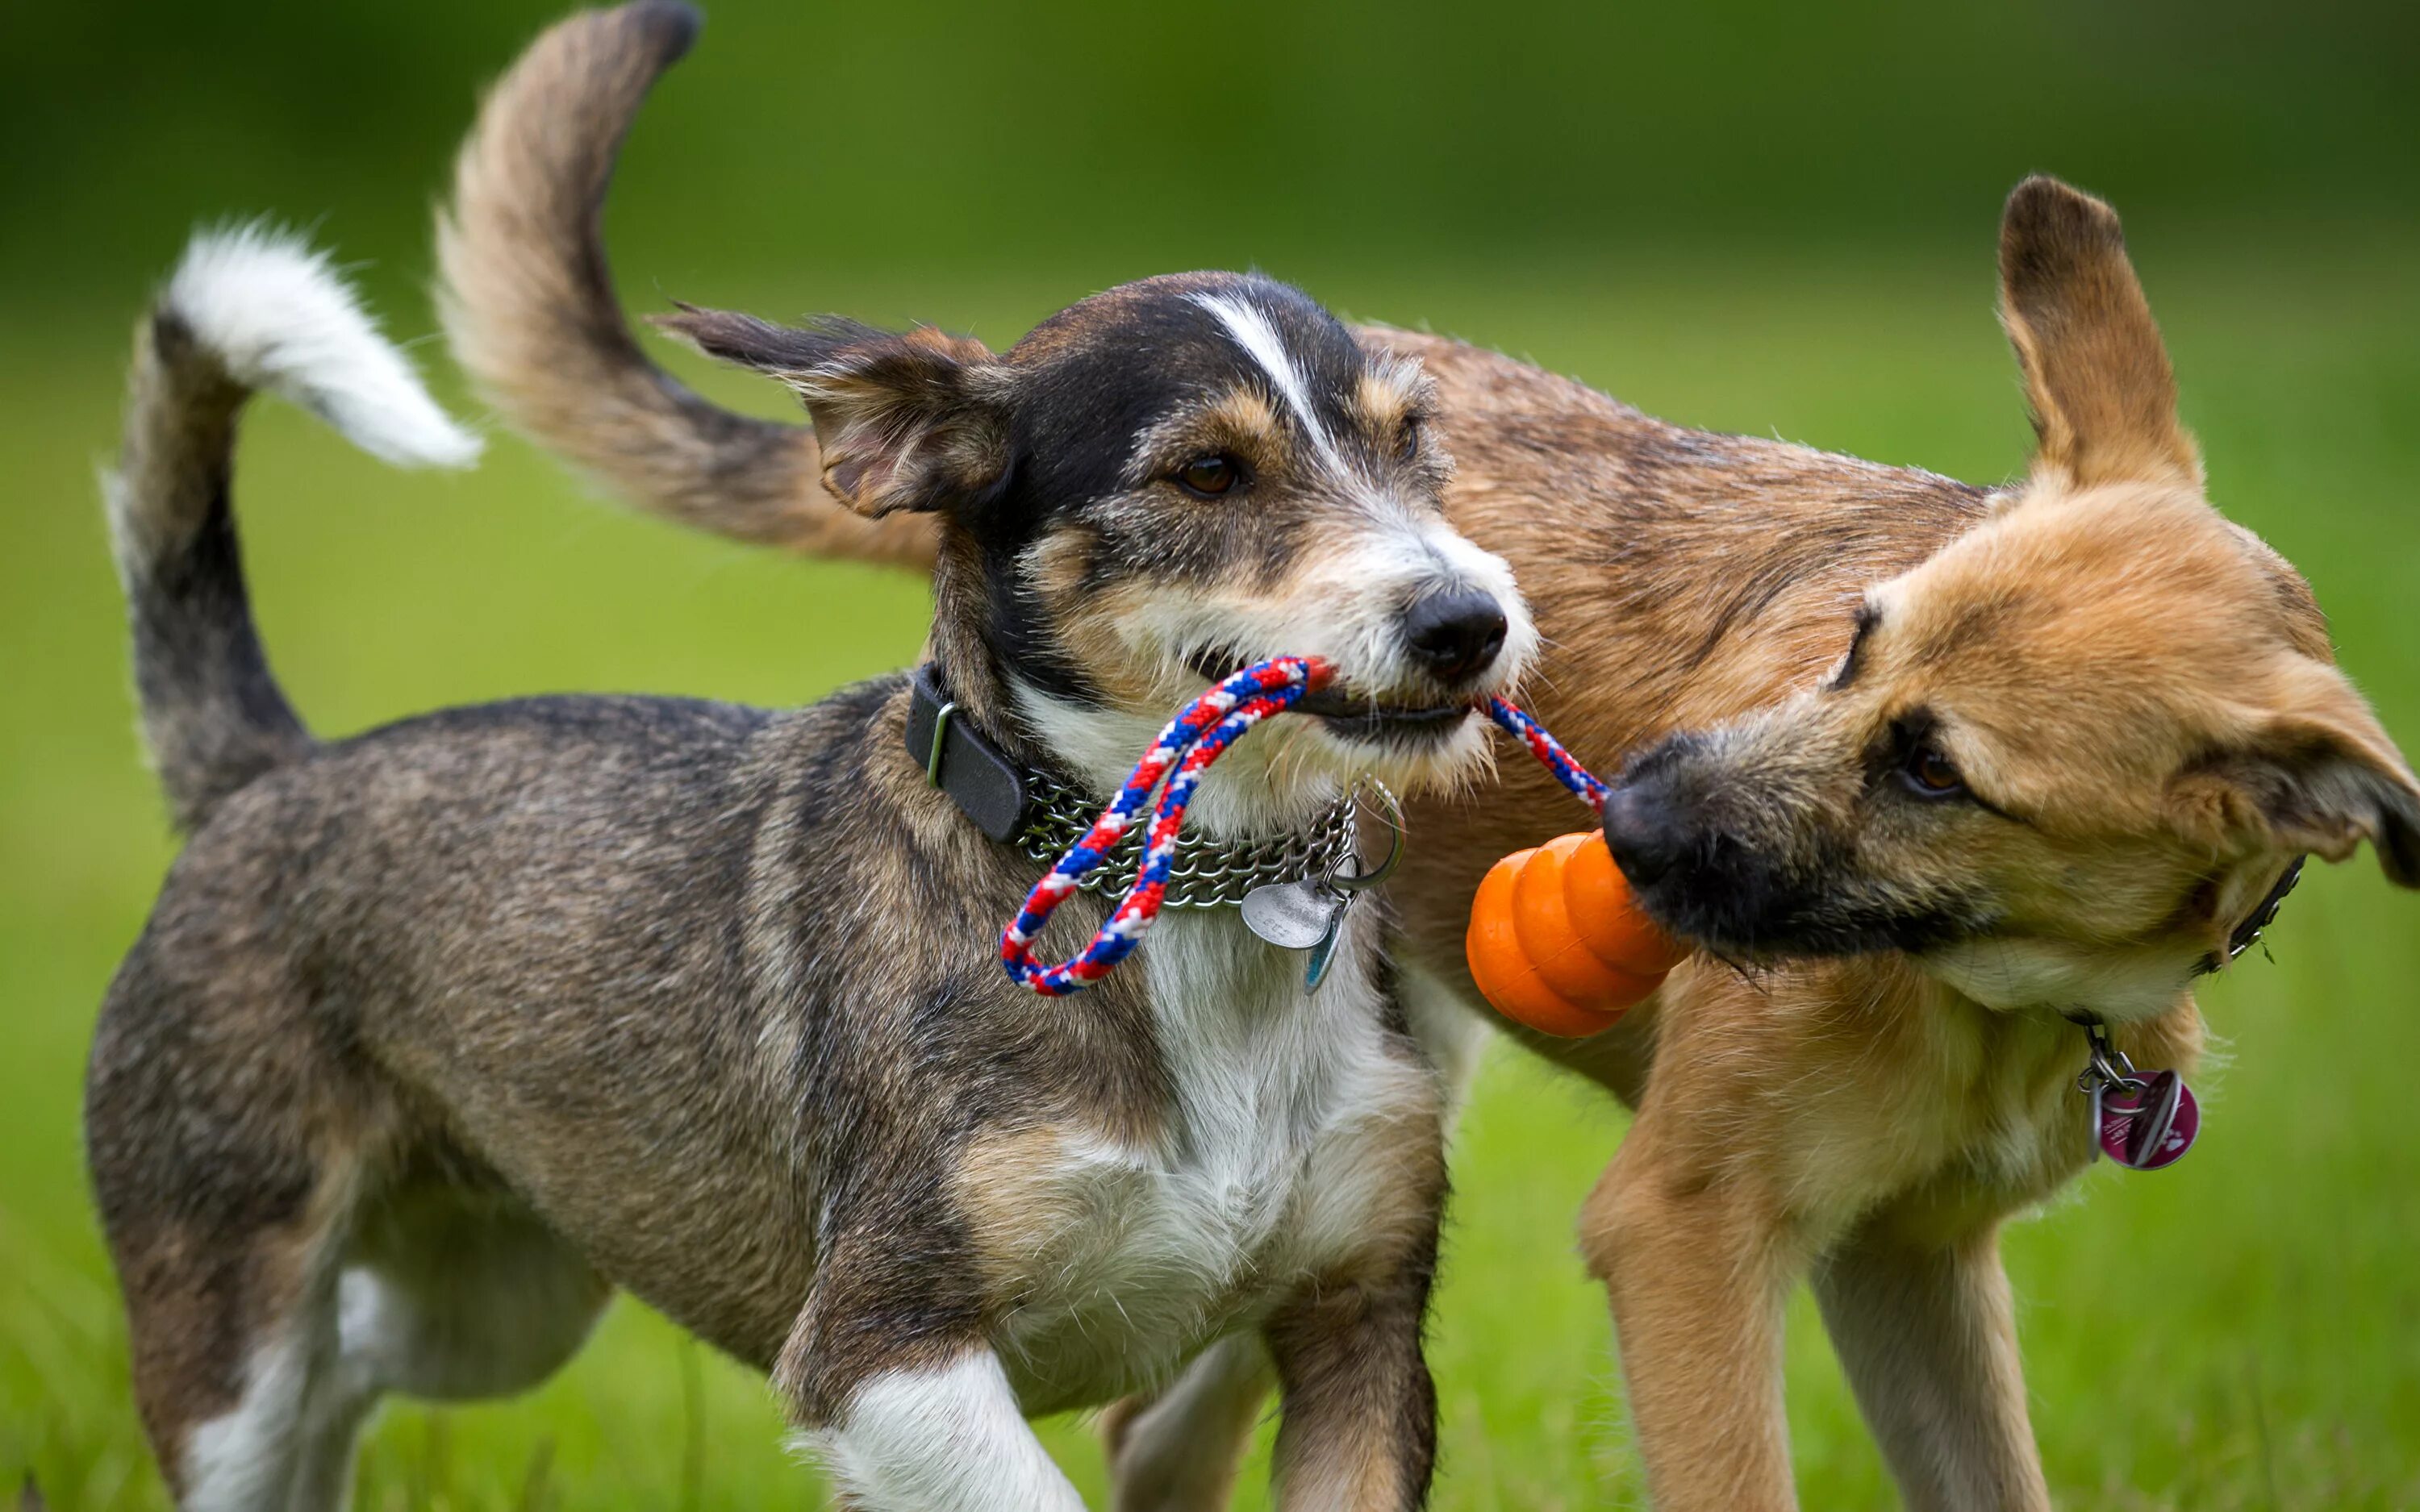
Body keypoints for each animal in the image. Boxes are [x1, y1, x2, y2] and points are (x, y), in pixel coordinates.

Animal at [94, 156, 1539, 1510]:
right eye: (1206, 471)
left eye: (1415, 441)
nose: (1471, 620)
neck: (1179, 892)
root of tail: (272, 771)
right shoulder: (873, 1352)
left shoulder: (1360, 1324)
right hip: (238, 1328)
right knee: (280, 1400)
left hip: (500, 1297)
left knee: (350, 1365)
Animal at [440, 6, 2420, 1500]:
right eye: (1852, 640)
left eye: (1939, 771)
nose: (1629, 814)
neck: (2002, 992)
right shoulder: (1686, 1234)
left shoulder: (1914, 1267)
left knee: (1170, 1429)